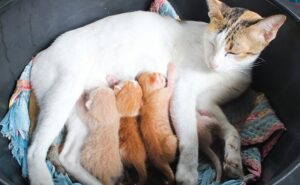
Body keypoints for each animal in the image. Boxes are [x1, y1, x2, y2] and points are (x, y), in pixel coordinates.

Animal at [28, 0, 286, 185]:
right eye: (212, 44)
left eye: (233, 52)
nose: (214, 64)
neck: (225, 73)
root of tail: (40, 56)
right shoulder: (183, 92)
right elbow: (190, 137)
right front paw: (187, 173)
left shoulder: (205, 102)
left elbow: (230, 128)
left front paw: (233, 158)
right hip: (64, 93)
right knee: (34, 150)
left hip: (84, 112)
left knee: (68, 156)